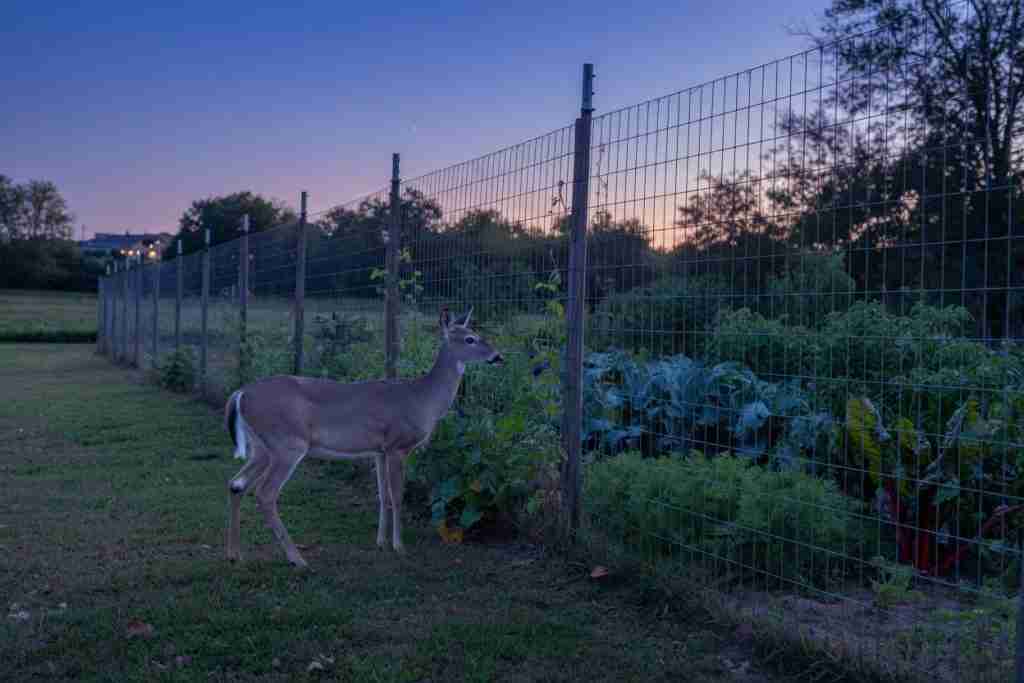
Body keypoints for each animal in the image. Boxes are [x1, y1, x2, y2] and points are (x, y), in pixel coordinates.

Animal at [223, 307, 503, 567]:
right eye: (470, 339)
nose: (498, 356)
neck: (423, 399)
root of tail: (240, 393)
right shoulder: (398, 446)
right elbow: (397, 496)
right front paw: (399, 546)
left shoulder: (379, 450)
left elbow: (383, 496)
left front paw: (381, 542)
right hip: (287, 444)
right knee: (265, 493)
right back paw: (297, 559)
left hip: (261, 447)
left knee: (236, 484)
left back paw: (235, 555)